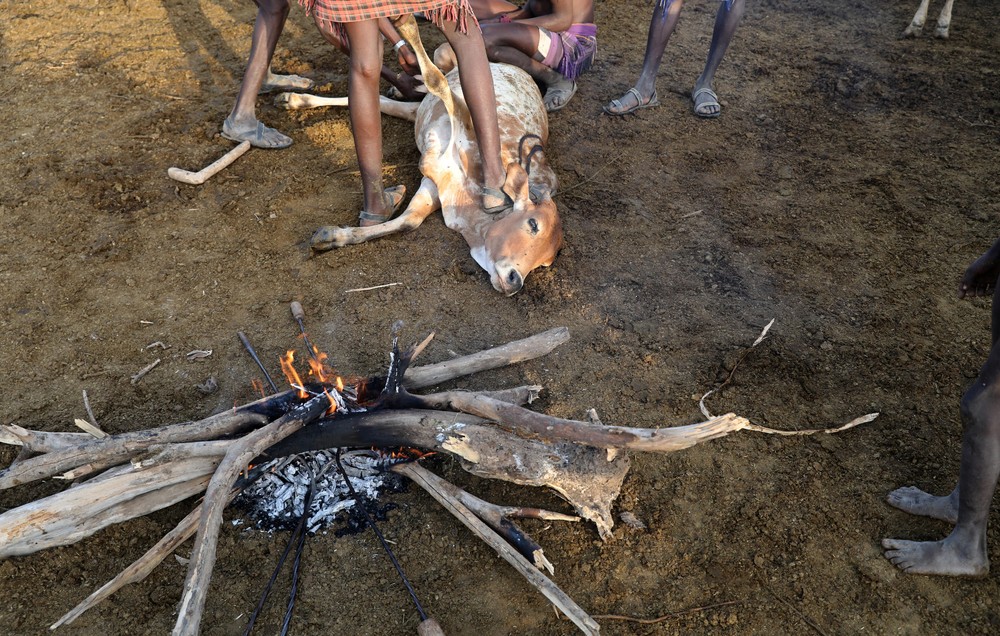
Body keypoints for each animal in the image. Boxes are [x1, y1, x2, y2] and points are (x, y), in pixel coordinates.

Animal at [278, 18, 564, 296]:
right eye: (533, 224)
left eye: (546, 262)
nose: (515, 280)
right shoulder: (460, 125)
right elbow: (437, 80)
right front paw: (406, 25)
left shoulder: (436, 184)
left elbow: (409, 221)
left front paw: (331, 236)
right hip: (443, 53)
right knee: (428, 76)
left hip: (417, 109)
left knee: (388, 102)